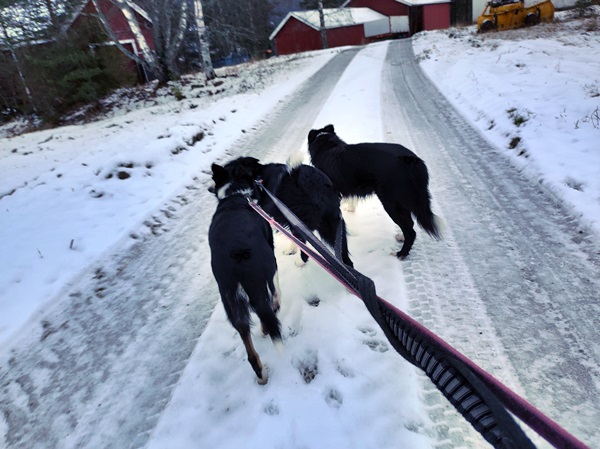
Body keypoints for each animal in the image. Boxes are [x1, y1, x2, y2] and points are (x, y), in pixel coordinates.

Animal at [207, 163, 282, 384]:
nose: (208, 188)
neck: (234, 194)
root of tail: (237, 259)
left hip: (231, 299)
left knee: (249, 343)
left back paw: (261, 374)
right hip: (269, 267)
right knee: (271, 301)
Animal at [221, 156, 352, 266]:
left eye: (230, 174)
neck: (258, 177)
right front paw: (291, 250)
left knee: (304, 246)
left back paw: (301, 262)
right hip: (333, 222)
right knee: (343, 253)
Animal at [310, 125, 440, 260]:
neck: (327, 145)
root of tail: (413, 161)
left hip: (391, 202)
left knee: (410, 231)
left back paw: (401, 253)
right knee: (410, 224)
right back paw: (401, 238)